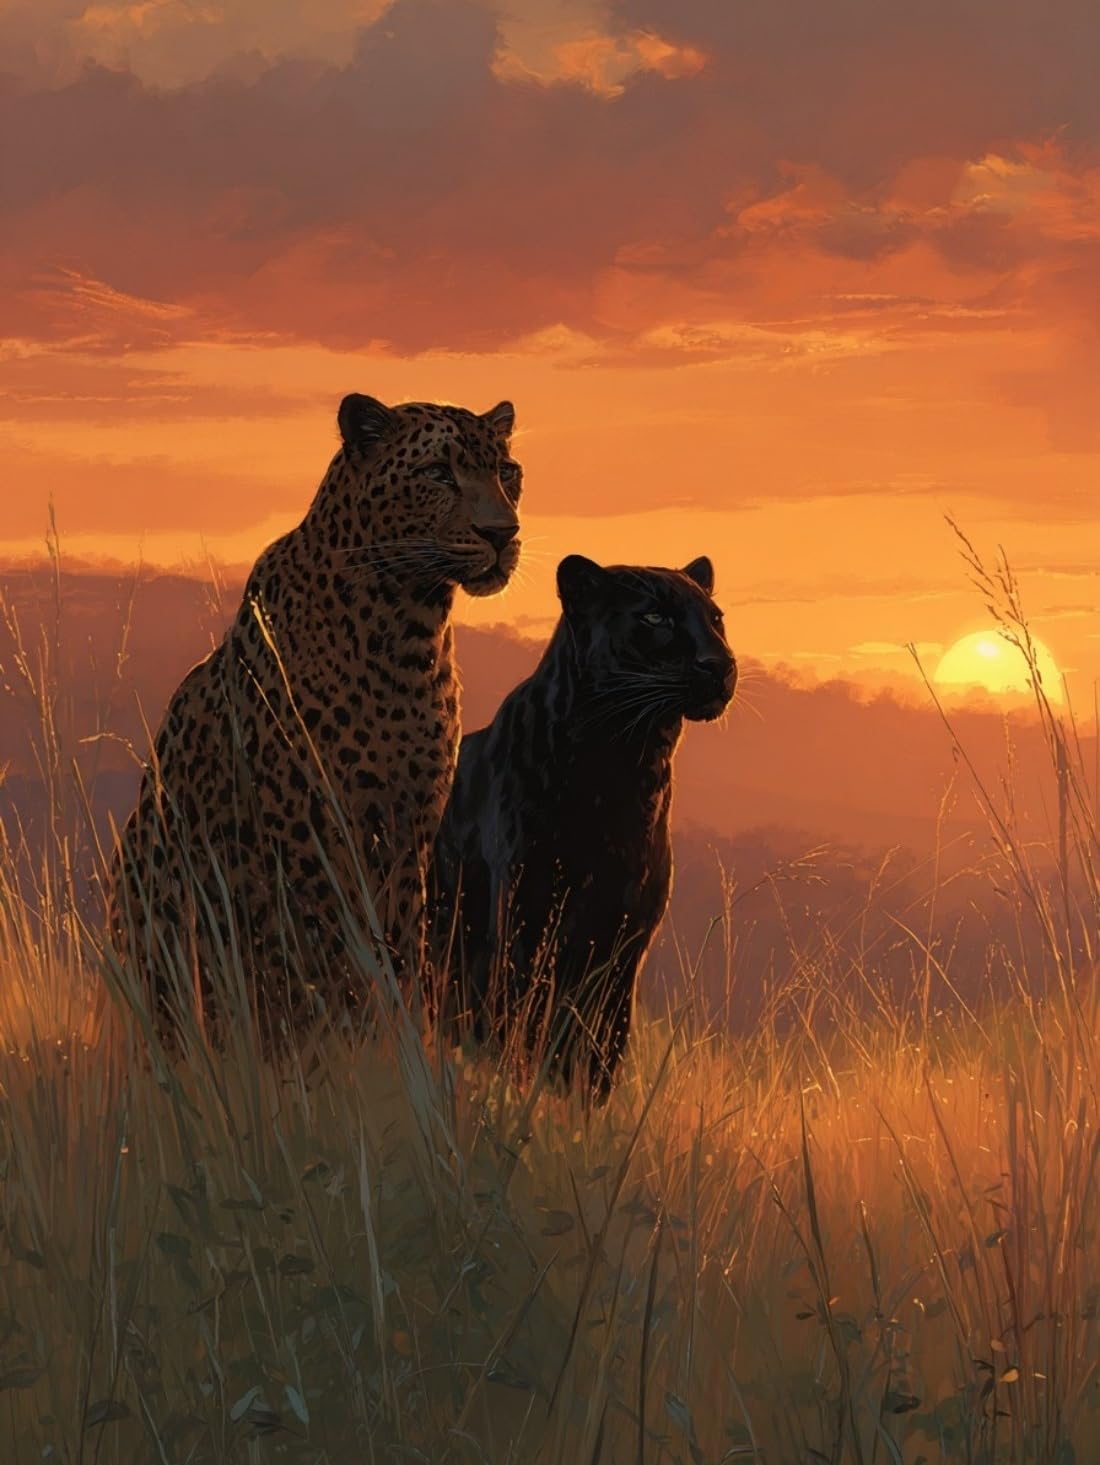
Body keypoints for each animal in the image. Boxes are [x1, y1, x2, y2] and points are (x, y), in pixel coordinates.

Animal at [107, 392, 523, 1041]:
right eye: (437, 473)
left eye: (507, 472)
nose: (503, 533)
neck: (409, 631)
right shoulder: (310, 832)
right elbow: (329, 959)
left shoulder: (408, 832)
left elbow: (400, 948)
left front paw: (407, 1037)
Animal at [430, 553, 736, 1102]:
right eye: (655, 618)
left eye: (716, 619)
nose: (719, 663)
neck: (627, 762)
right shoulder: (527, 925)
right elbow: (520, 1029)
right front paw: (518, 1098)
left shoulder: (621, 944)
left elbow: (598, 1051)